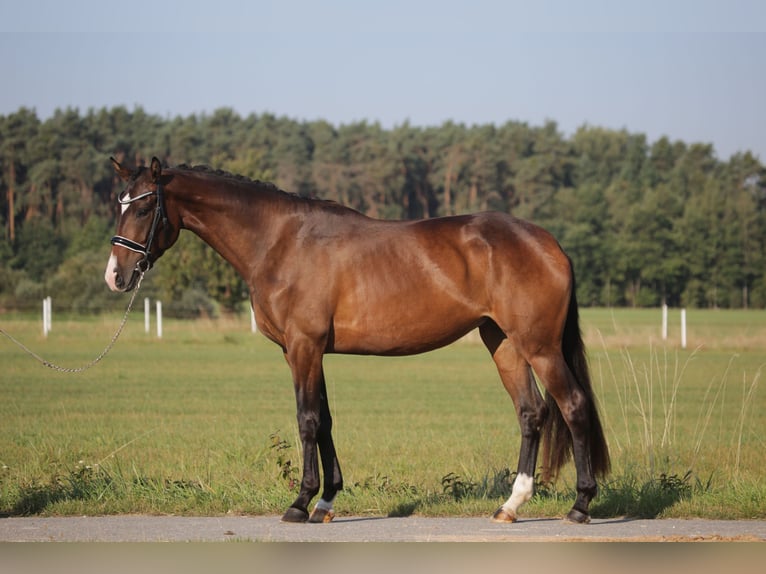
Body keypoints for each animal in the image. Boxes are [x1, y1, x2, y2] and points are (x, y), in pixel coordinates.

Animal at [106, 158, 612, 528]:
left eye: (145, 208)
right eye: (121, 204)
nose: (115, 276)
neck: (280, 242)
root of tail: (549, 243)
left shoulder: (304, 347)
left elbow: (307, 421)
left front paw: (300, 502)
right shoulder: (305, 351)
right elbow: (326, 420)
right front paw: (326, 503)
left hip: (539, 346)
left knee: (573, 406)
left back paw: (580, 506)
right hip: (503, 343)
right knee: (531, 413)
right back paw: (511, 506)